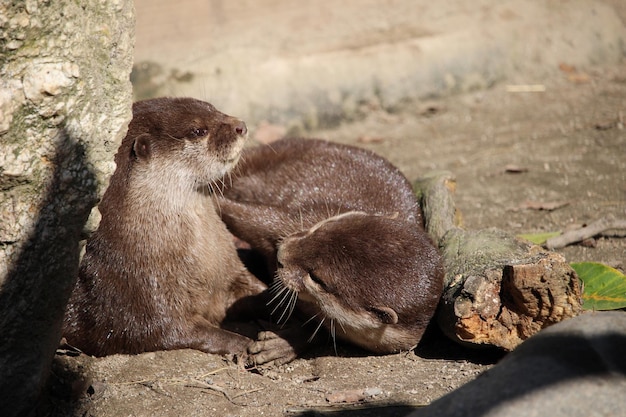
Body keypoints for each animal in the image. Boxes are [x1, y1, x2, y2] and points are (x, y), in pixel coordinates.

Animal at [62, 97, 266, 358]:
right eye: (198, 131)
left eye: (212, 107)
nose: (240, 125)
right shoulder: (139, 296)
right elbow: (168, 332)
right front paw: (246, 344)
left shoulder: (230, 269)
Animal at [217, 138, 442, 362]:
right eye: (323, 226)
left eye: (318, 279)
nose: (281, 254)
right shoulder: (302, 218)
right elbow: (253, 218)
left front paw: (280, 346)